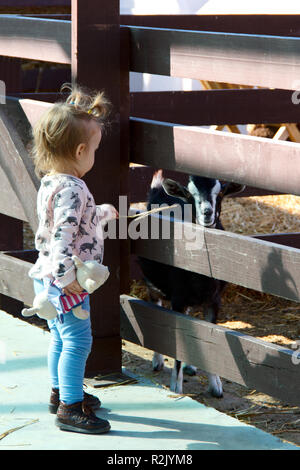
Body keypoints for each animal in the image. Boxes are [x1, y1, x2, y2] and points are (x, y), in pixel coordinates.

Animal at [138, 169, 244, 396]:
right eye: (189, 194)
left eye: (220, 192)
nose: (207, 212)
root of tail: (159, 189)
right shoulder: (178, 299)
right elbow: (178, 342)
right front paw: (176, 386)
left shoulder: (214, 301)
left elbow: (210, 338)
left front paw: (216, 386)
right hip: (153, 283)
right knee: (155, 307)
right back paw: (158, 361)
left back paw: (190, 366)